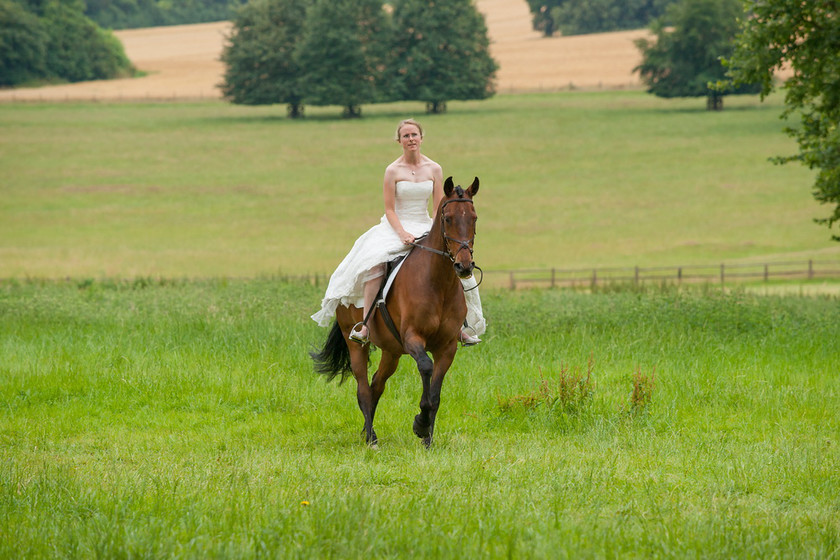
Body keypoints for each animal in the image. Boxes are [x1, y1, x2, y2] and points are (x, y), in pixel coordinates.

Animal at [310, 175, 482, 446]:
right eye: (447, 218)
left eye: (473, 218)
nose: (464, 266)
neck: (439, 283)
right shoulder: (412, 337)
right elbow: (426, 367)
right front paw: (420, 424)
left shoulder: (447, 347)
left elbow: (436, 394)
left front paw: (427, 439)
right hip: (356, 344)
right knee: (362, 388)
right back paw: (371, 440)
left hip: (391, 351)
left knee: (376, 385)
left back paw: (368, 432)